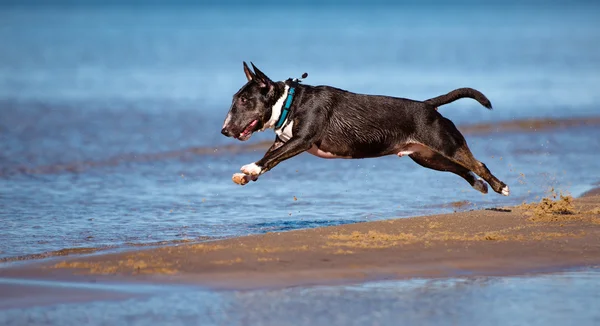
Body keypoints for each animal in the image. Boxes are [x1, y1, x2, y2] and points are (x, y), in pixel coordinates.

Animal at [223, 63, 508, 196]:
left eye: (245, 100)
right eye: (236, 98)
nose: (224, 131)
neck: (291, 103)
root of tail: (427, 105)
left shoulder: (302, 140)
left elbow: (271, 158)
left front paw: (251, 168)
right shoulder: (284, 141)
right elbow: (271, 156)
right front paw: (246, 176)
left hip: (445, 143)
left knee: (477, 164)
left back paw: (500, 187)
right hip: (426, 157)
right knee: (461, 169)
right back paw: (479, 185)